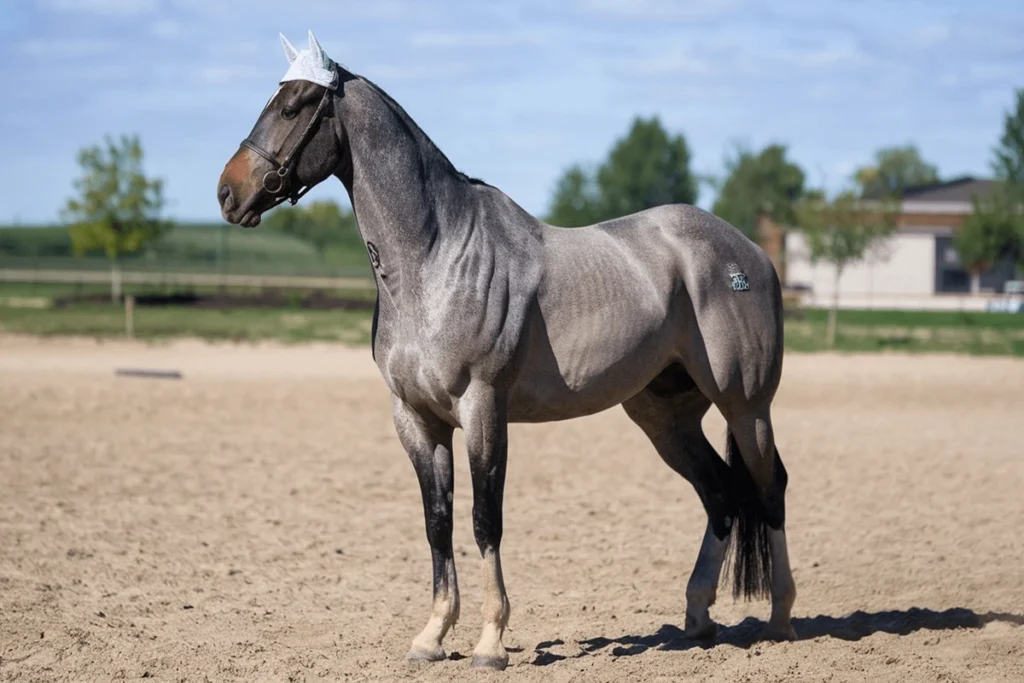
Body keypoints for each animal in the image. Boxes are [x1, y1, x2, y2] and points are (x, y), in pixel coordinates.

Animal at [214, 30, 790, 667]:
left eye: (293, 107)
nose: (228, 193)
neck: (435, 258)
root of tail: (752, 256)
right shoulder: (415, 419)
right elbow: (437, 522)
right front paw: (432, 637)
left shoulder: (483, 409)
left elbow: (485, 520)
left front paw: (491, 642)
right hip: (665, 416)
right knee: (721, 496)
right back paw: (697, 619)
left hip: (746, 406)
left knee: (770, 489)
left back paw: (780, 620)